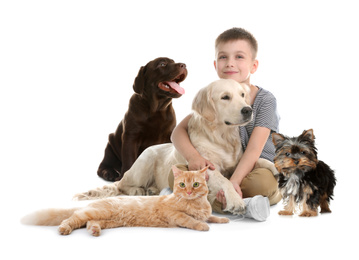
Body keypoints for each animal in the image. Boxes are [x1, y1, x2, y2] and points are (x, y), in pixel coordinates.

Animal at [21, 167, 231, 236]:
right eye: (181, 184)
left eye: (195, 184)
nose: (188, 191)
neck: (197, 203)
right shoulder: (175, 214)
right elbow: (192, 220)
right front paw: (203, 226)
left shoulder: (205, 212)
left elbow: (211, 216)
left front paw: (222, 219)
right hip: (96, 213)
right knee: (72, 218)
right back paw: (64, 229)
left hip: (109, 221)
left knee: (88, 223)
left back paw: (94, 231)